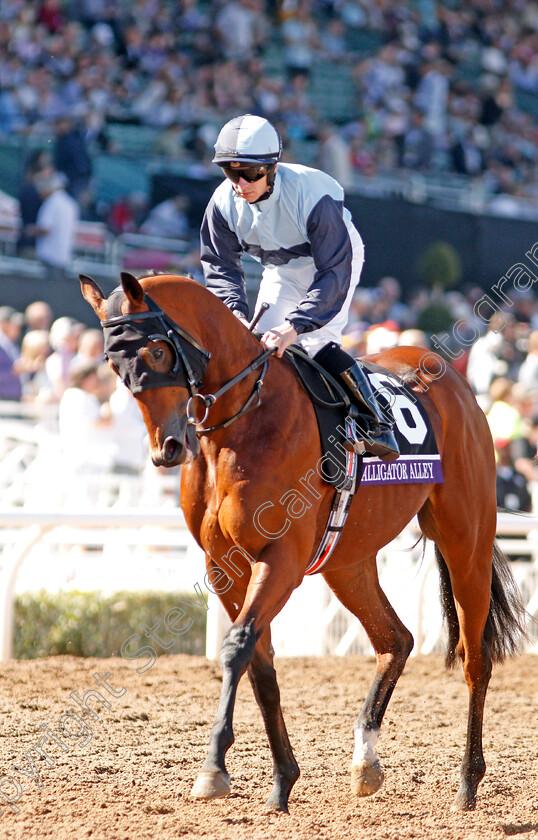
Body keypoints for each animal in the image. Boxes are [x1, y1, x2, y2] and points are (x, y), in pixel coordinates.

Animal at [79, 274, 524, 812]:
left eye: (159, 351)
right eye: (112, 363)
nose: (167, 448)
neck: (242, 421)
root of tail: (456, 383)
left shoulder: (282, 559)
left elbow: (238, 646)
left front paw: (214, 768)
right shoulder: (223, 565)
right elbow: (258, 663)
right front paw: (281, 781)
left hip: (465, 542)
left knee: (475, 660)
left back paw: (467, 782)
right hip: (346, 560)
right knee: (396, 639)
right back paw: (366, 760)